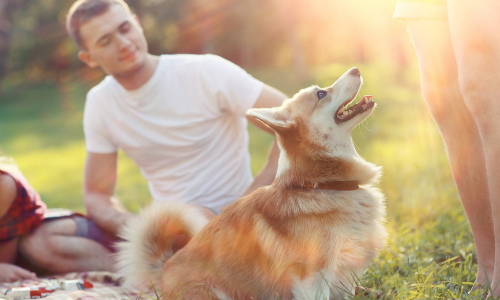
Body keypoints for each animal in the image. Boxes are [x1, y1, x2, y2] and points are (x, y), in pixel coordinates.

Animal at [117, 68, 386, 300]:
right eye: (320, 94)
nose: (355, 69)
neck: (321, 184)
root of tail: (162, 273)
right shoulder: (312, 278)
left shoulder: (344, 276)